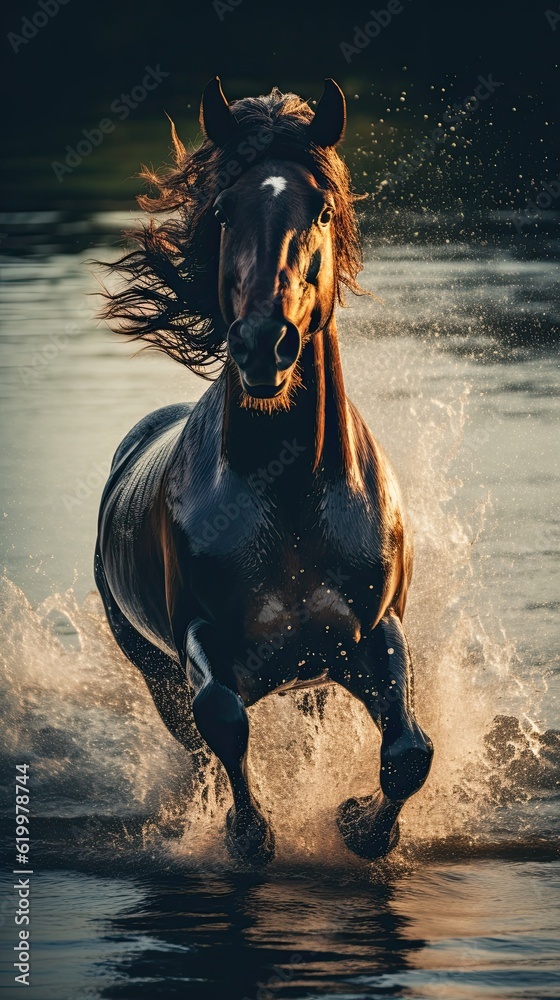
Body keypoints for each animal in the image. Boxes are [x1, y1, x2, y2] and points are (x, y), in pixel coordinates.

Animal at [95, 77, 433, 864]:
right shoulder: (201, 638)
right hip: (153, 669)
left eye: (322, 209)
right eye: (225, 208)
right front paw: (250, 835)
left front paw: (358, 824)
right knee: (195, 746)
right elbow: (223, 718)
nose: (262, 343)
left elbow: (409, 751)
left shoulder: (372, 633)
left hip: (312, 679)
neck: (289, 493)